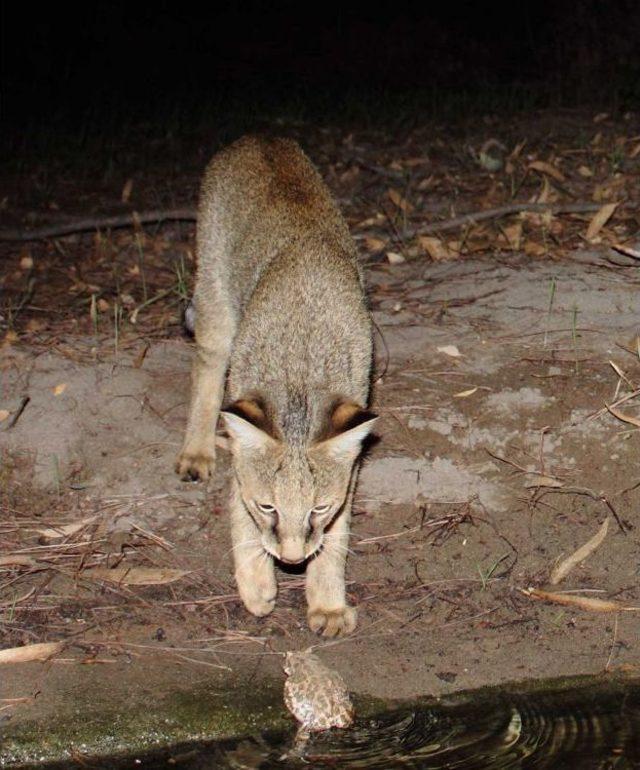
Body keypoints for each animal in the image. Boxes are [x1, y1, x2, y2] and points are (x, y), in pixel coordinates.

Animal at [175, 135, 376, 632]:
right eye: (269, 508)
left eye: (318, 509)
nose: (290, 560)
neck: (299, 378)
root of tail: (258, 136)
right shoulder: (243, 435)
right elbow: (238, 513)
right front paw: (255, 584)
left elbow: (335, 540)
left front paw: (326, 602)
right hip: (216, 310)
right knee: (205, 370)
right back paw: (197, 450)